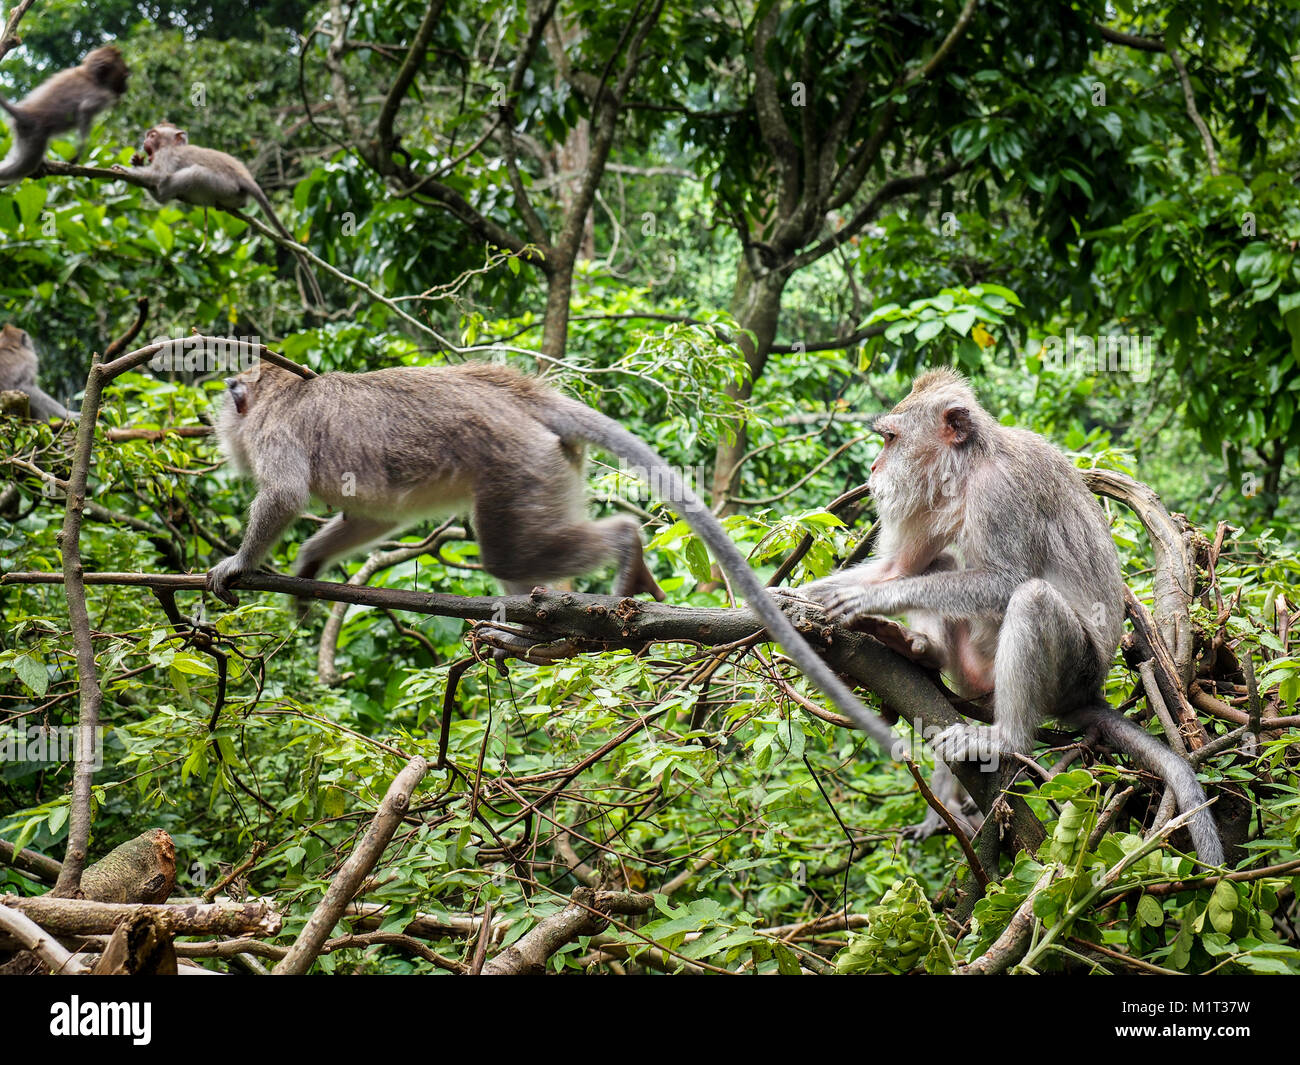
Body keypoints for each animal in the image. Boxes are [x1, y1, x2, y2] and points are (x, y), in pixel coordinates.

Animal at [0, 44, 129, 183]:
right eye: (124, 76)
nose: (126, 87)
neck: (89, 75)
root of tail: (24, 113)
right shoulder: (103, 95)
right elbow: (85, 109)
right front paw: (78, 154)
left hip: (23, 134)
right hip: (35, 135)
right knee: (24, 166)